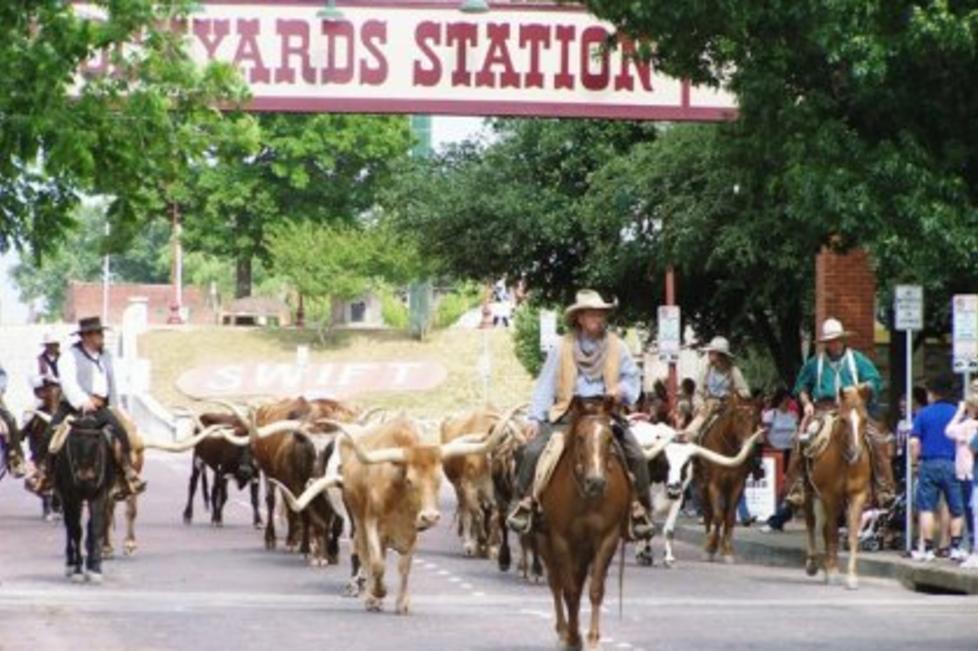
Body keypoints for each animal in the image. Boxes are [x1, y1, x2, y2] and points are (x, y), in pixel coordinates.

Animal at [532, 398, 624, 651]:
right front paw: (572, 637)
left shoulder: (607, 538)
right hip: (545, 542)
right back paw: (564, 632)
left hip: (583, 550)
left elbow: (594, 590)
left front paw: (592, 639)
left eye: (609, 439)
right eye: (581, 437)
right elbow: (570, 591)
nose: (596, 482)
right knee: (556, 583)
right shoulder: (560, 540)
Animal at [692, 394, 764, 564]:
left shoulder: (738, 484)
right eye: (739, 417)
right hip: (702, 486)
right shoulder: (714, 484)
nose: (749, 447)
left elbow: (729, 517)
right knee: (708, 513)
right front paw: (710, 548)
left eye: (756, 419)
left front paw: (728, 550)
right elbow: (717, 516)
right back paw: (708, 542)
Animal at [804, 388, 872, 592]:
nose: (855, 453)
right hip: (809, 492)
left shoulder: (857, 495)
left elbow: (852, 535)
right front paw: (833, 571)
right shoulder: (829, 496)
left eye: (865, 419)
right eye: (843, 420)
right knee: (812, 523)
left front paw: (851, 576)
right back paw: (813, 564)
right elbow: (832, 532)